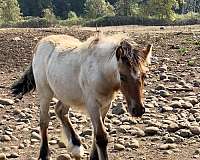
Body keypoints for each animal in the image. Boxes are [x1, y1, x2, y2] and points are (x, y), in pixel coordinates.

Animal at [11, 33, 152, 160]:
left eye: (144, 75)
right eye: (122, 76)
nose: (138, 110)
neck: (100, 71)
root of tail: (40, 43)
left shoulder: (105, 105)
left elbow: (96, 133)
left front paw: (93, 156)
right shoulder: (93, 105)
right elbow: (101, 136)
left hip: (67, 93)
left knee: (60, 111)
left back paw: (76, 145)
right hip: (45, 93)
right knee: (44, 121)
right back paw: (44, 154)